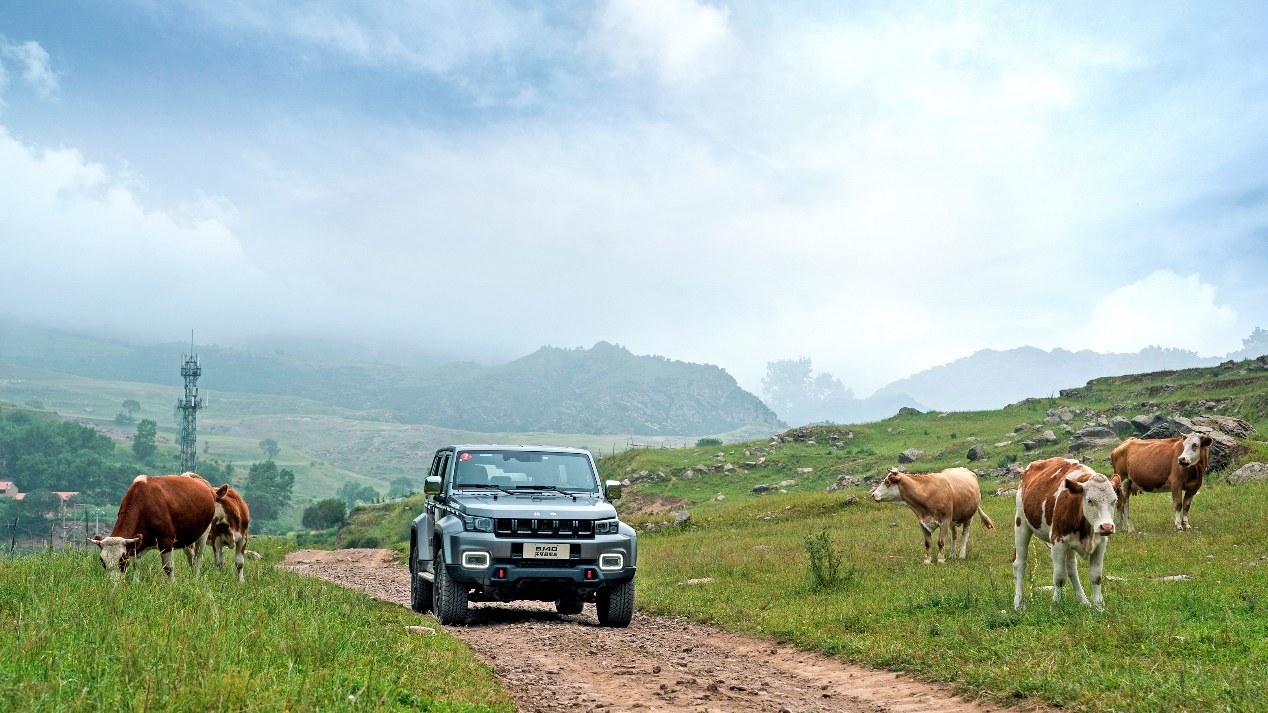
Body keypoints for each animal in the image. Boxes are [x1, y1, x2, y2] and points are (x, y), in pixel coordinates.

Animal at [1009, 456, 1120, 608]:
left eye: (1114, 501)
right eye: (1089, 500)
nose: (1107, 527)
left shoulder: (1101, 543)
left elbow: (1096, 576)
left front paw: (1099, 606)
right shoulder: (1058, 541)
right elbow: (1059, 577)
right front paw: (1056, 604)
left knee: (1071, 567)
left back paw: (1083, 600)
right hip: (1021, 523)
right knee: (1020, 563)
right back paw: (1019, 603)